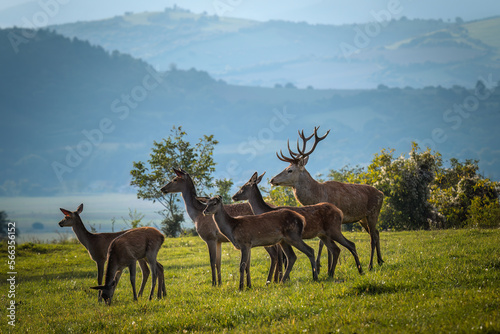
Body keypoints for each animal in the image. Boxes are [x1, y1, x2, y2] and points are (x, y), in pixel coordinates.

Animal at [232, 171, 362, 278]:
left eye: (243, 187)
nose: (233, 196)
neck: (265, 210)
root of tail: (339, 212)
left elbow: (283, 258)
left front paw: (280, 279)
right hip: (324, 234)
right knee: (336, 249)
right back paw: (331, 274)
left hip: (334, 229)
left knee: (350, 244)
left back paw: (360, 270)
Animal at [272, 126, 384, 270]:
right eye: (285, 167)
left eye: (290, 170)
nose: (272, 179)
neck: (318, 194)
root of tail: (381, 193)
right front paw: (326, 265)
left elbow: (321, 243)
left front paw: (321, 266)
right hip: (362, 218)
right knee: (376, 232)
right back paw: (380, 261)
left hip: (373, 213)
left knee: (373, 237)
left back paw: (370, 265)